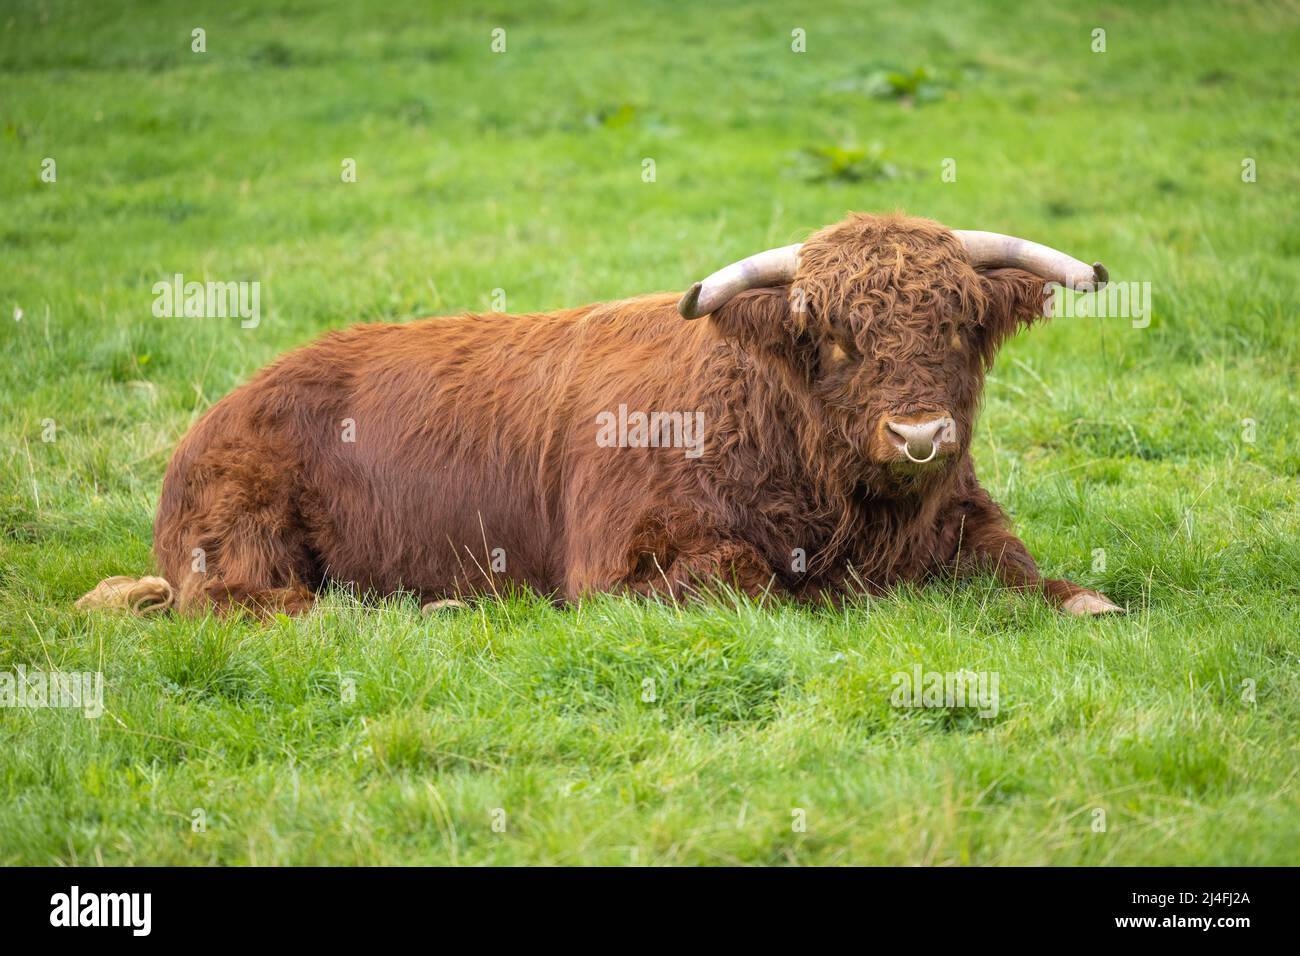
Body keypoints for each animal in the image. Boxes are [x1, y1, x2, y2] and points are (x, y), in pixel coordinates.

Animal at [77, 212, 1123, 618]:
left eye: (955, 324)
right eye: (829, 336)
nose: (919, 437)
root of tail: (227, 403)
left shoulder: (962, 523)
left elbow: (1031, 577)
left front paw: (1089, 599)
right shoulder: (625, 563)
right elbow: (747, 579)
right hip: (243, 540)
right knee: (277, 609)